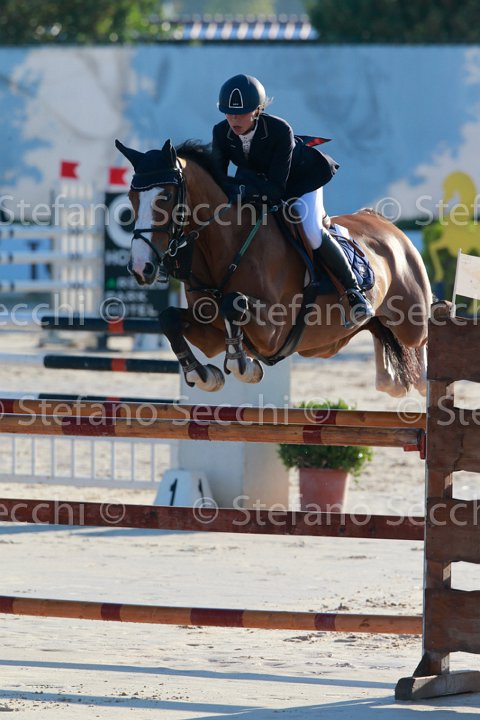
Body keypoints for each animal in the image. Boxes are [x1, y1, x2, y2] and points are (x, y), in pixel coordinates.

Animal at [116, 138, 432, 398]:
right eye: (131, 199)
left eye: (166, 197)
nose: (141, 267)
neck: (227, 245)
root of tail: (387, 226)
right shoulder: (210, 333)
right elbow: (169, 318)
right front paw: (204, 374)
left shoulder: (274, 331)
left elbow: (234, 303)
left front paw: (244, 365)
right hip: (339, 341)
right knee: (387, 361)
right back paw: (390, 379)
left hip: (411, 321)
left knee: (423, 343)